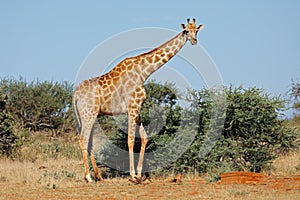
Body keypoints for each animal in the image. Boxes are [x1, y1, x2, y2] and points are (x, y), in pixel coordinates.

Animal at [72, 18, 204, 183]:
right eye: (186, 30)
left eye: (196, 30)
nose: (194, 41)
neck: (143, 72)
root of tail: (75, 94)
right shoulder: (132, 107)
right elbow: (130, 139)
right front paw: (133, 175)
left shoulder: (137, 109)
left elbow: (144, 138)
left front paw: (140, 174)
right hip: (88, 114)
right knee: (83, 139)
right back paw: (88, 177)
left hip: (91, 115)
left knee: (88, 141)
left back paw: (99, 176)